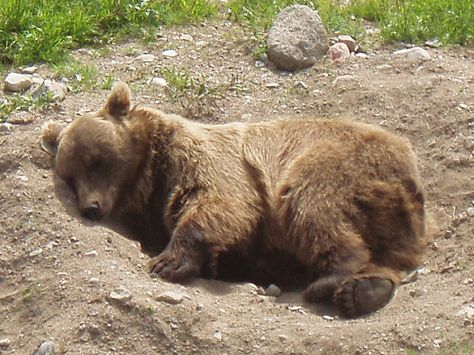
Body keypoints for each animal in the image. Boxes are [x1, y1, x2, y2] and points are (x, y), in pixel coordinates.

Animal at [42, 82, 428, 318]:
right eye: (71, 177)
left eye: (96, 161)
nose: (91, 207)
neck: (151, 174)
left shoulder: (208, 161)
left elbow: (223, 205)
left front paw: (168, 262)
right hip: (392, 218)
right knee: (387, 253)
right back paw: (364, 291)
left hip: (339, 161)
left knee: (312, 204)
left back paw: (331, 280)